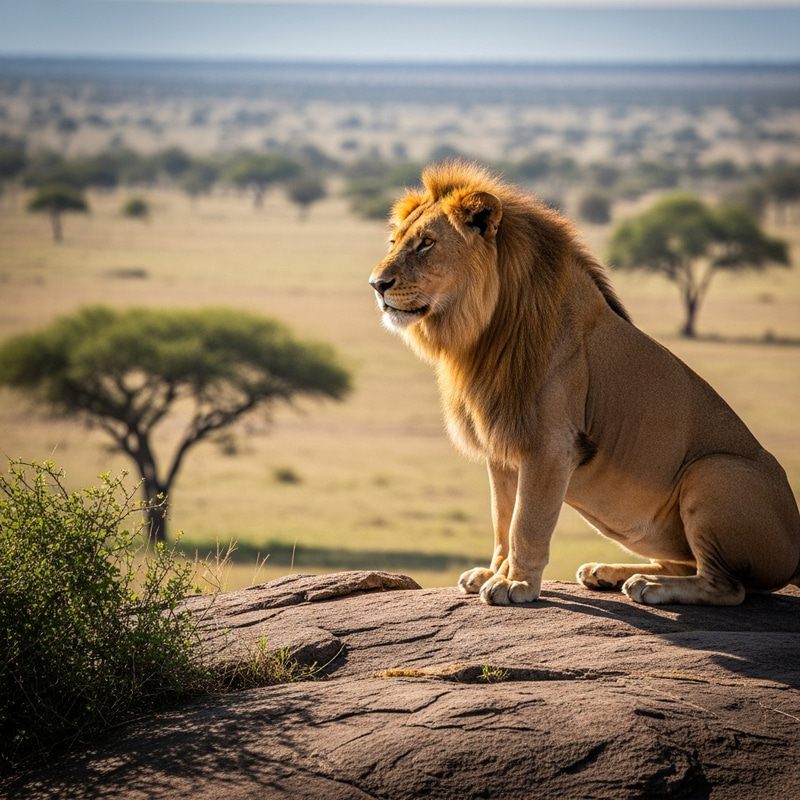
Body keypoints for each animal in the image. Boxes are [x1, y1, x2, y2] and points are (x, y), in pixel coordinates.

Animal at [369, 160, 800, 607]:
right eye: (394, 241)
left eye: (426, 244)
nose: (376, 284)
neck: (483, 333)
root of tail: (796, 552)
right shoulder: (502, 446)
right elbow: (502, 519)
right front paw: (493, 571)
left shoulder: (549, 444)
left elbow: (526, 522)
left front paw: (515, 584)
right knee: (687, 565)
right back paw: (606, 572)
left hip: (712, 471)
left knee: (728, 587)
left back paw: (651, 587)